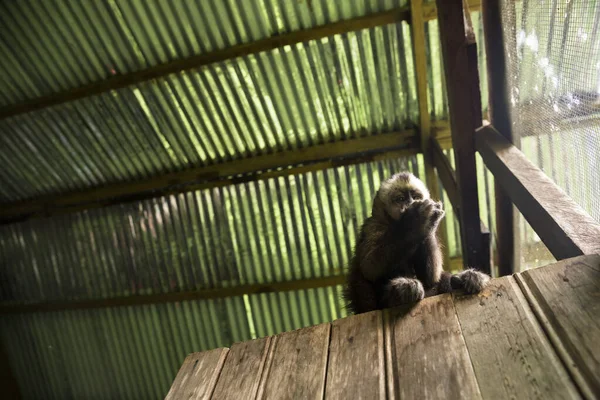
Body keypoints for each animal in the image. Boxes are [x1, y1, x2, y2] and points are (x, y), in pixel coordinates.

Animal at [344, 172, 490, 316]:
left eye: (415, 197)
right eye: (401, 199)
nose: (410, 203)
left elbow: (431, 278)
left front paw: (429, 223)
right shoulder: (372, 226)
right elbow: (369, 267)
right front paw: (416, 221)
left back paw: (462, 280)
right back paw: (397, 295)